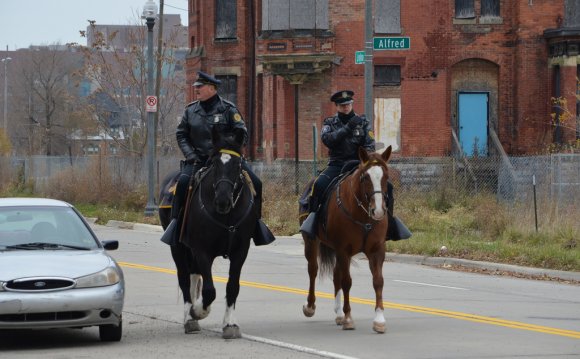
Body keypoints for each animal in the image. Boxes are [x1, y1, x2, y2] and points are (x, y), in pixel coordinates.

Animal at [160, 129, 258, 340]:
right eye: (215, 163)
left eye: (238, 165)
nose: (222, 201)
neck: (227, 216)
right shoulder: (202, 250)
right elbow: (209, 291)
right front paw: (197, 311)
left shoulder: (240, 251)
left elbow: (232, 287)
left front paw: (230, 324)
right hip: (178, 248)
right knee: (184, 278)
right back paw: (189, 318)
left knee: (193, 276)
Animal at [302, 146, 392, 334]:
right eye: (365, 177)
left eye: (386, 176)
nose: (379, 211)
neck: (363, 216)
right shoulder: (344, 249)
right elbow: (347, 282)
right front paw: (349, 318)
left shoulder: (376, 249)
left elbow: (378, 281)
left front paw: (379, 320)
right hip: (311, 242)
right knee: (313, 270)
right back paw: (310, 307)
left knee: (336, 274)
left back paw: (338, 314)